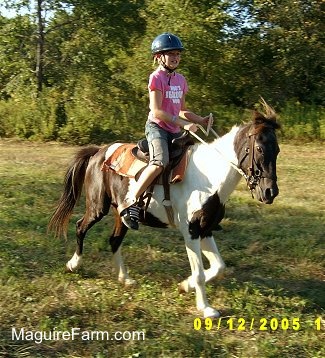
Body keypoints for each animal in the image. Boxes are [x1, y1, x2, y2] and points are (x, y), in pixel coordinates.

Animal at [47, 100, 278, 318]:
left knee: (114, 240)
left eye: (277, 150)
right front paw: (205, 308)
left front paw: (185, 285)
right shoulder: (191, 232)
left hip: (121, 214)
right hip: (97, 207)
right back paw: (73, 264)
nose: (270, 192)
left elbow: (218, 267)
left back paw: (125, 278)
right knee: (80, 227)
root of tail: (98, 152)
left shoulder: (205, 229)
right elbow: (200, 273)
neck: (210, 176)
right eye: (259, 148)